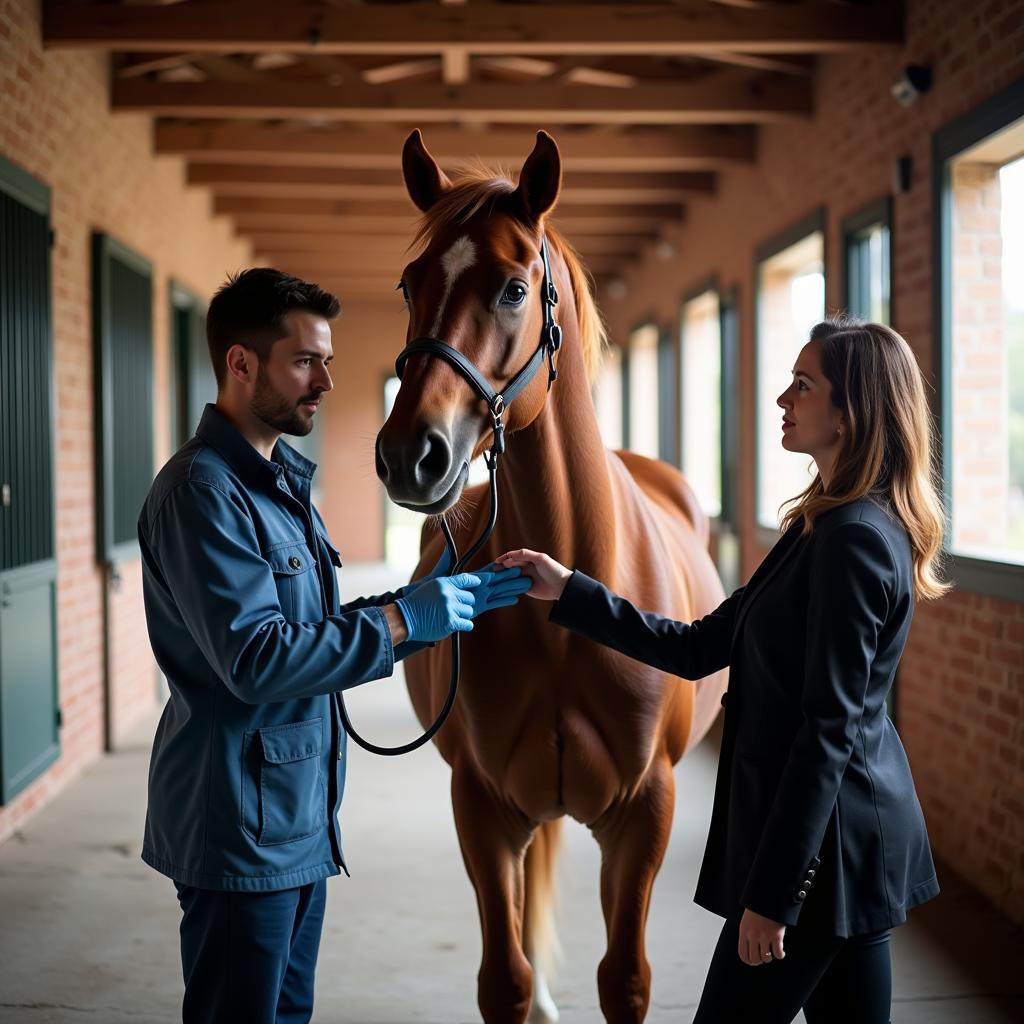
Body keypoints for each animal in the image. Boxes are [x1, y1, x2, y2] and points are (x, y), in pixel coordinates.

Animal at [376, 130, 729, 1024]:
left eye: (512, 287)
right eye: (410, 282)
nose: (410, 454)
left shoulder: (643, 813)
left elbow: (625, 978)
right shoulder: (484, 808)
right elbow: (503, 979)